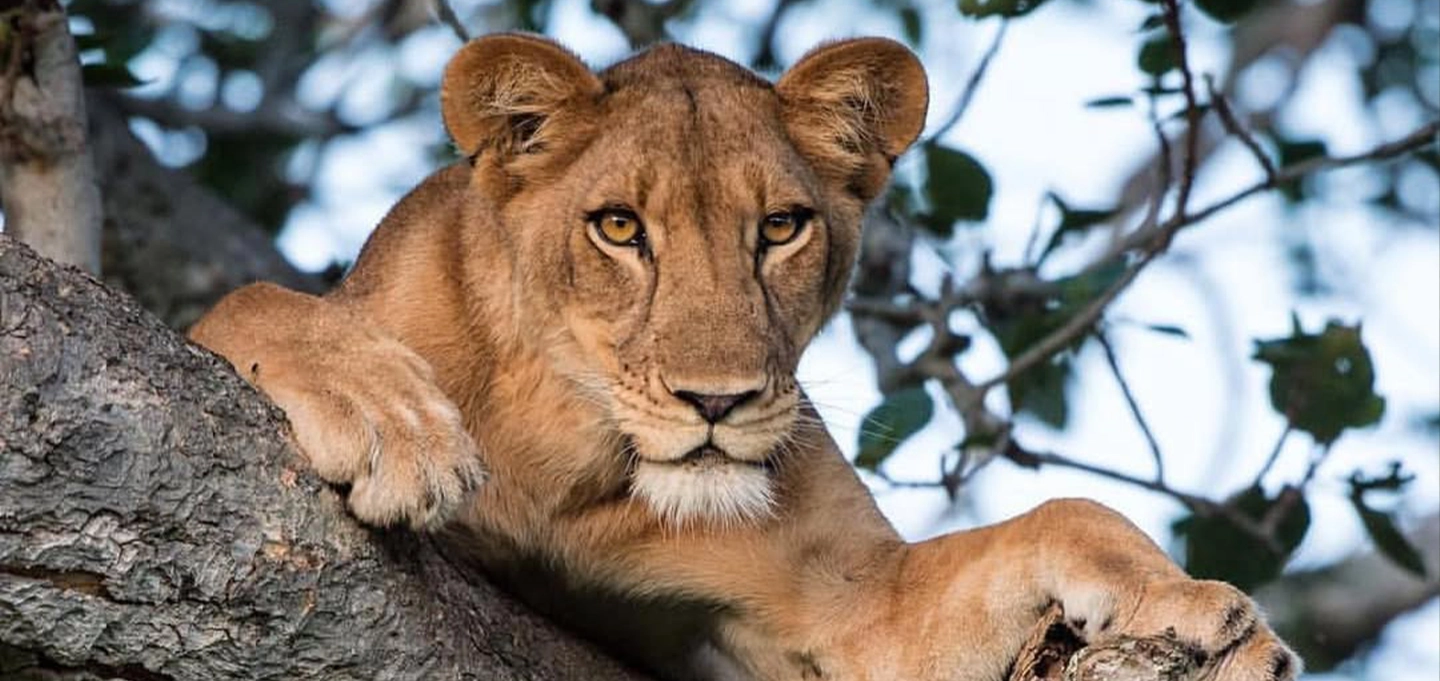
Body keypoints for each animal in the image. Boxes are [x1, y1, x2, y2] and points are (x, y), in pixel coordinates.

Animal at [189, 33, 1299, 681]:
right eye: (619, 227)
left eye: (778, 228)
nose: (717, 401)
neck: (564, 447)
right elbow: (247, 304)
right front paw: (396, 423)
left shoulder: (850, 605)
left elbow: (1066, 512)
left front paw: (1206, 615)